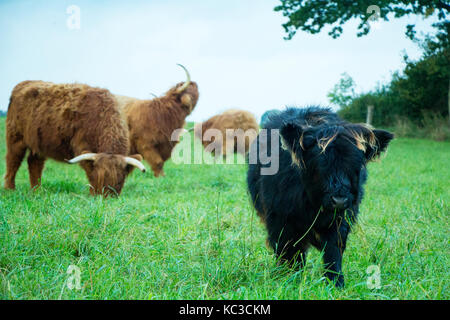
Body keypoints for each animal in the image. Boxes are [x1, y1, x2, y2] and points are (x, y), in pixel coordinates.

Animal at [246, 107, 394, 288]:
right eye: (320, 163)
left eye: (356, 164)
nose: (339, 200)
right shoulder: (280, 220)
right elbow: (289, 252)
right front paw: (292, 279)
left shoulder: (341, 219)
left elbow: (334, 251)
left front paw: (336, 282)